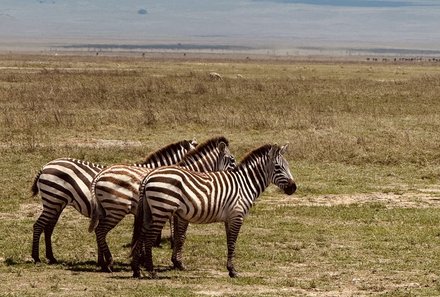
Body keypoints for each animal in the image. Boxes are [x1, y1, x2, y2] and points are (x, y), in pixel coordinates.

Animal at [30, 139, 196, 264]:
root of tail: (45, 166)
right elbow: (138, 234)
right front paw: (140, 258)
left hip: (57, 203)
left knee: (48, 228)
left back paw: (51, 257)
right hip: (53, 200)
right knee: (39, 225)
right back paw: (36, 257)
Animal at [87, 136, 235, 270]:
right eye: (232, 160)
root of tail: (100, 175)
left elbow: (176, 235)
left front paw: (170, 260)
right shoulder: (180, 212)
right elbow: (181, 236)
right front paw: (178, 263)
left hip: (105, 209)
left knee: (99, 231)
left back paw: (102, 262)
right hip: (117, 209)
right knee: (100, 230)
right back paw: (109, 262)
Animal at [131, 143, 296, 278]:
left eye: (288, 166)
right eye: (278, 167)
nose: (294, 188)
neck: (244, 184)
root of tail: (149, 176)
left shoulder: (229, 218)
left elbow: (229, 242)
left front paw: (230, 268)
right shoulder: (237, 216)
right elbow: (232, 242)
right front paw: (232, 270)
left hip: (150, 212)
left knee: (142, 234)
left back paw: (136, 270)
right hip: (162, 210)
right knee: (149, 238)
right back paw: (151, 271)